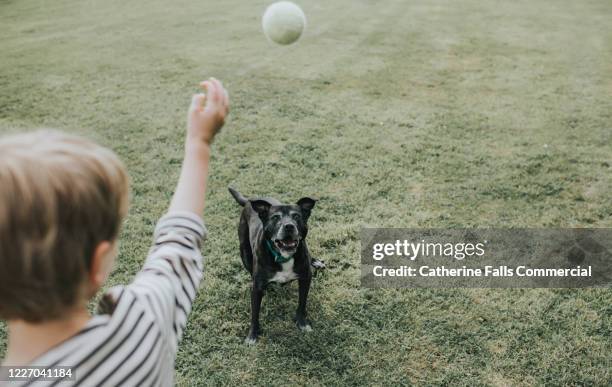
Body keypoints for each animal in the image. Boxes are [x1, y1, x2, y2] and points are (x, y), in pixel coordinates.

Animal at [228, 188, 318, 346]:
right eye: (275, 217)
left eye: (296, 216)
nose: (289, 226)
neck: (283, 256)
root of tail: (250, 200)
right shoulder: (256, 288)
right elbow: (255, 314)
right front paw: (252, 335)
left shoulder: (306, 278)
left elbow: (302, 303)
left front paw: (302, 323)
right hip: (244, 251)